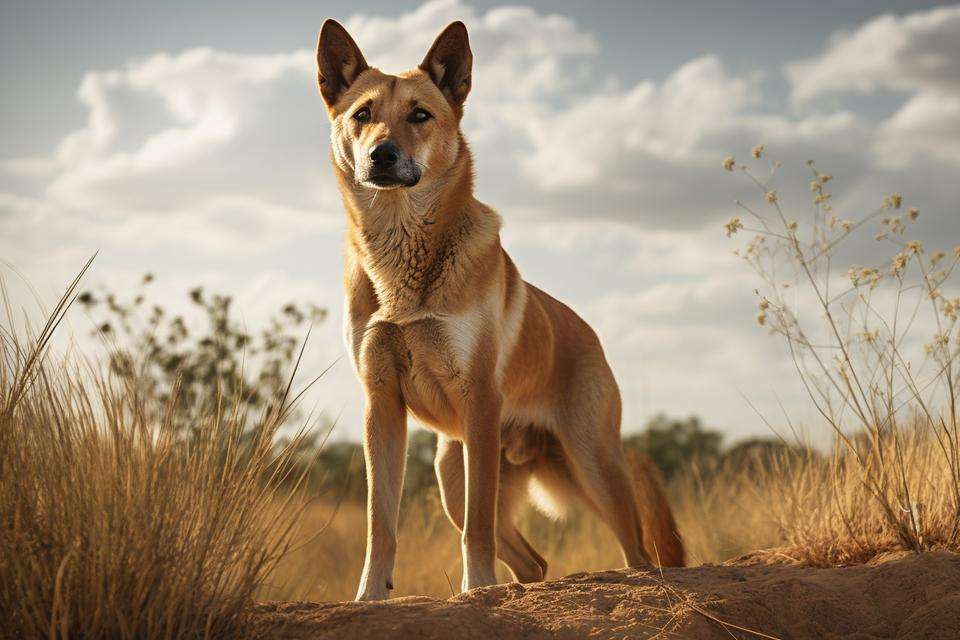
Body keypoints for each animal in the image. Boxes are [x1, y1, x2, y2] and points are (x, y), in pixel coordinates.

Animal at [316, 18, 684, 600]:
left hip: (592, 467)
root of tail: (592, 335)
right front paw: (370, 596)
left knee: (638, 553)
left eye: (420, 115)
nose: (382, 155)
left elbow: (479, 528)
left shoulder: (480, 401)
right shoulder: (381, 405)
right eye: (363, 115)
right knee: (534, 562)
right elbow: (381, 524)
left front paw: (479, 588)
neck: (402, 257)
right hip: (451, 470)